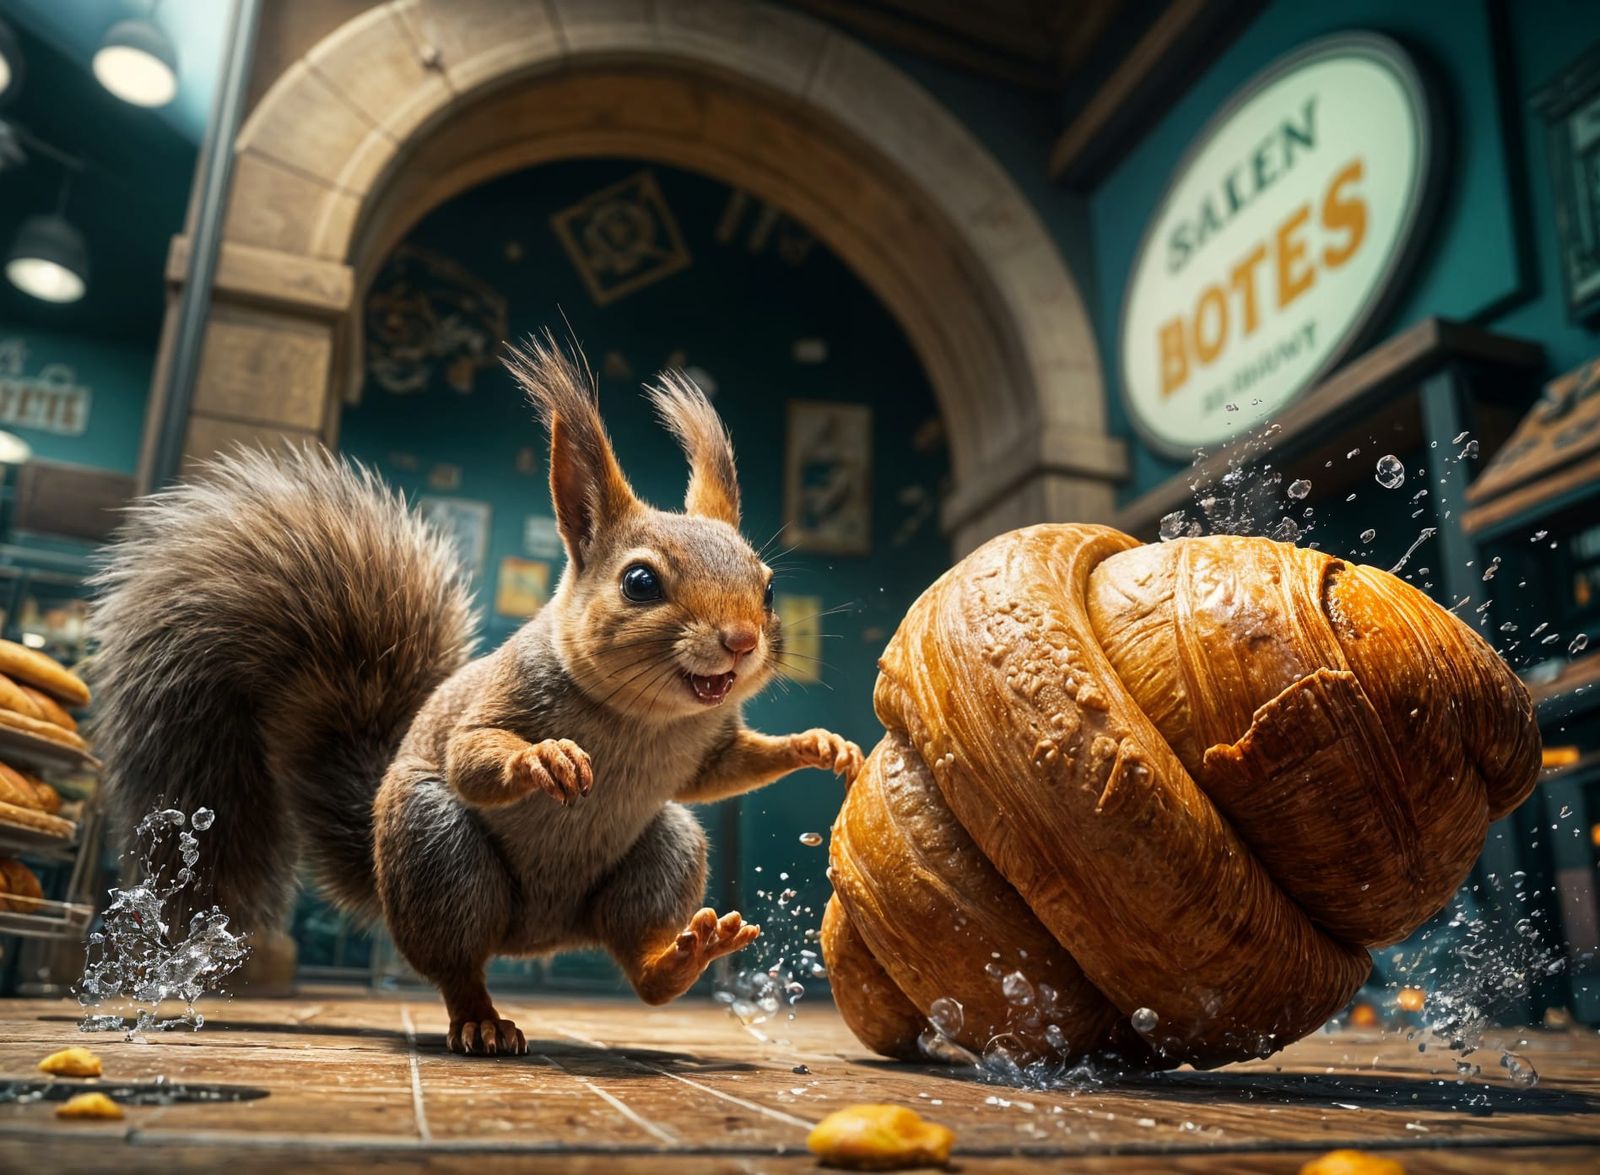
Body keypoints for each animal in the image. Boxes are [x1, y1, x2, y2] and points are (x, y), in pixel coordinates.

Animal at [88, 337, 864, 1056]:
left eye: (769, 587)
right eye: (640, 582)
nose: (741, 640)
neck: (644, 718)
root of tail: (539, 937)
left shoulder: (705, 745)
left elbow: (727, 769)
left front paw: (820, 746)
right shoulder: (504, 695)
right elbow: (473, 754)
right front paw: (545, 759)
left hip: (664, 847)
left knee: (636, 952)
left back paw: (677, 957)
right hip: (431, 846)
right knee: (457, 966)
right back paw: (484, 1021)